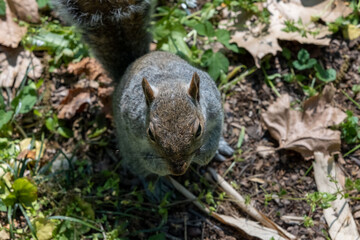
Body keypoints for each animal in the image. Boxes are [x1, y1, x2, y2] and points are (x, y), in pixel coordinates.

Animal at [52, 0, 233, 176]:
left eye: (199, 130)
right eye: (150, 134)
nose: (177, 170)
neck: (169, 85)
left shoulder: (214, 105)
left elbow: (214, 134)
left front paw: (205, 153)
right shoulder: (133, 129)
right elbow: (148, 161)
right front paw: (163, 171)